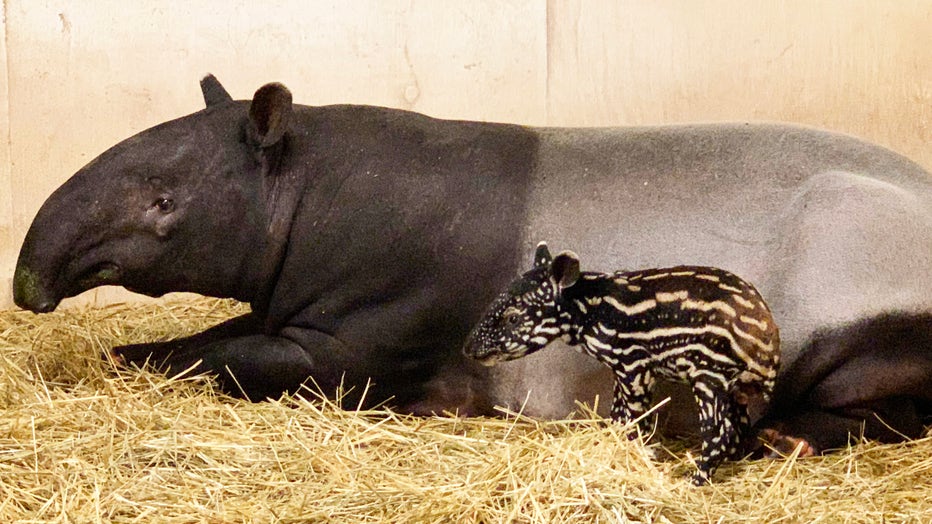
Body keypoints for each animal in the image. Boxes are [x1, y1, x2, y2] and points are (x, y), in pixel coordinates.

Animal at [9, 74, 932, 454]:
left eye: (163, 203)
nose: (29, 283)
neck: (314, 192)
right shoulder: (292, 302)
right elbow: (216, 334)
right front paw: (120, 353)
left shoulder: (379, 331)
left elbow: (242, 359)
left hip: (850, 289)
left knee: (891, 406)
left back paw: (791, 438)